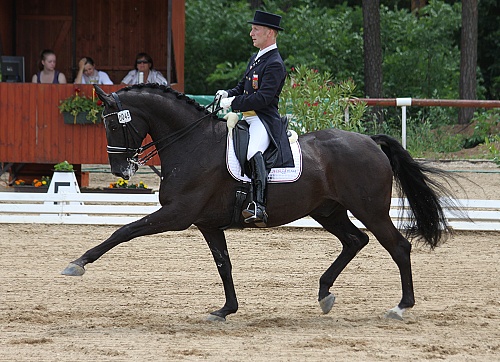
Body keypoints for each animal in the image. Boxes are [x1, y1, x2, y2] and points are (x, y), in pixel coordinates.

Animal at [61, 84, 458, 322]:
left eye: (114, 125)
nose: (121, 170)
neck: (191, 144)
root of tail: (370, 142)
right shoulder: (207, 223)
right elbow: (224, 265)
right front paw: (225, 309)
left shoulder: (177, 215)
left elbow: (124, 231)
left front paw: (77, 264)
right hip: (327, 210)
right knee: (354, 240)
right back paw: (324, 293)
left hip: (370, 210)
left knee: (397, 246)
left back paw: (401, 306)